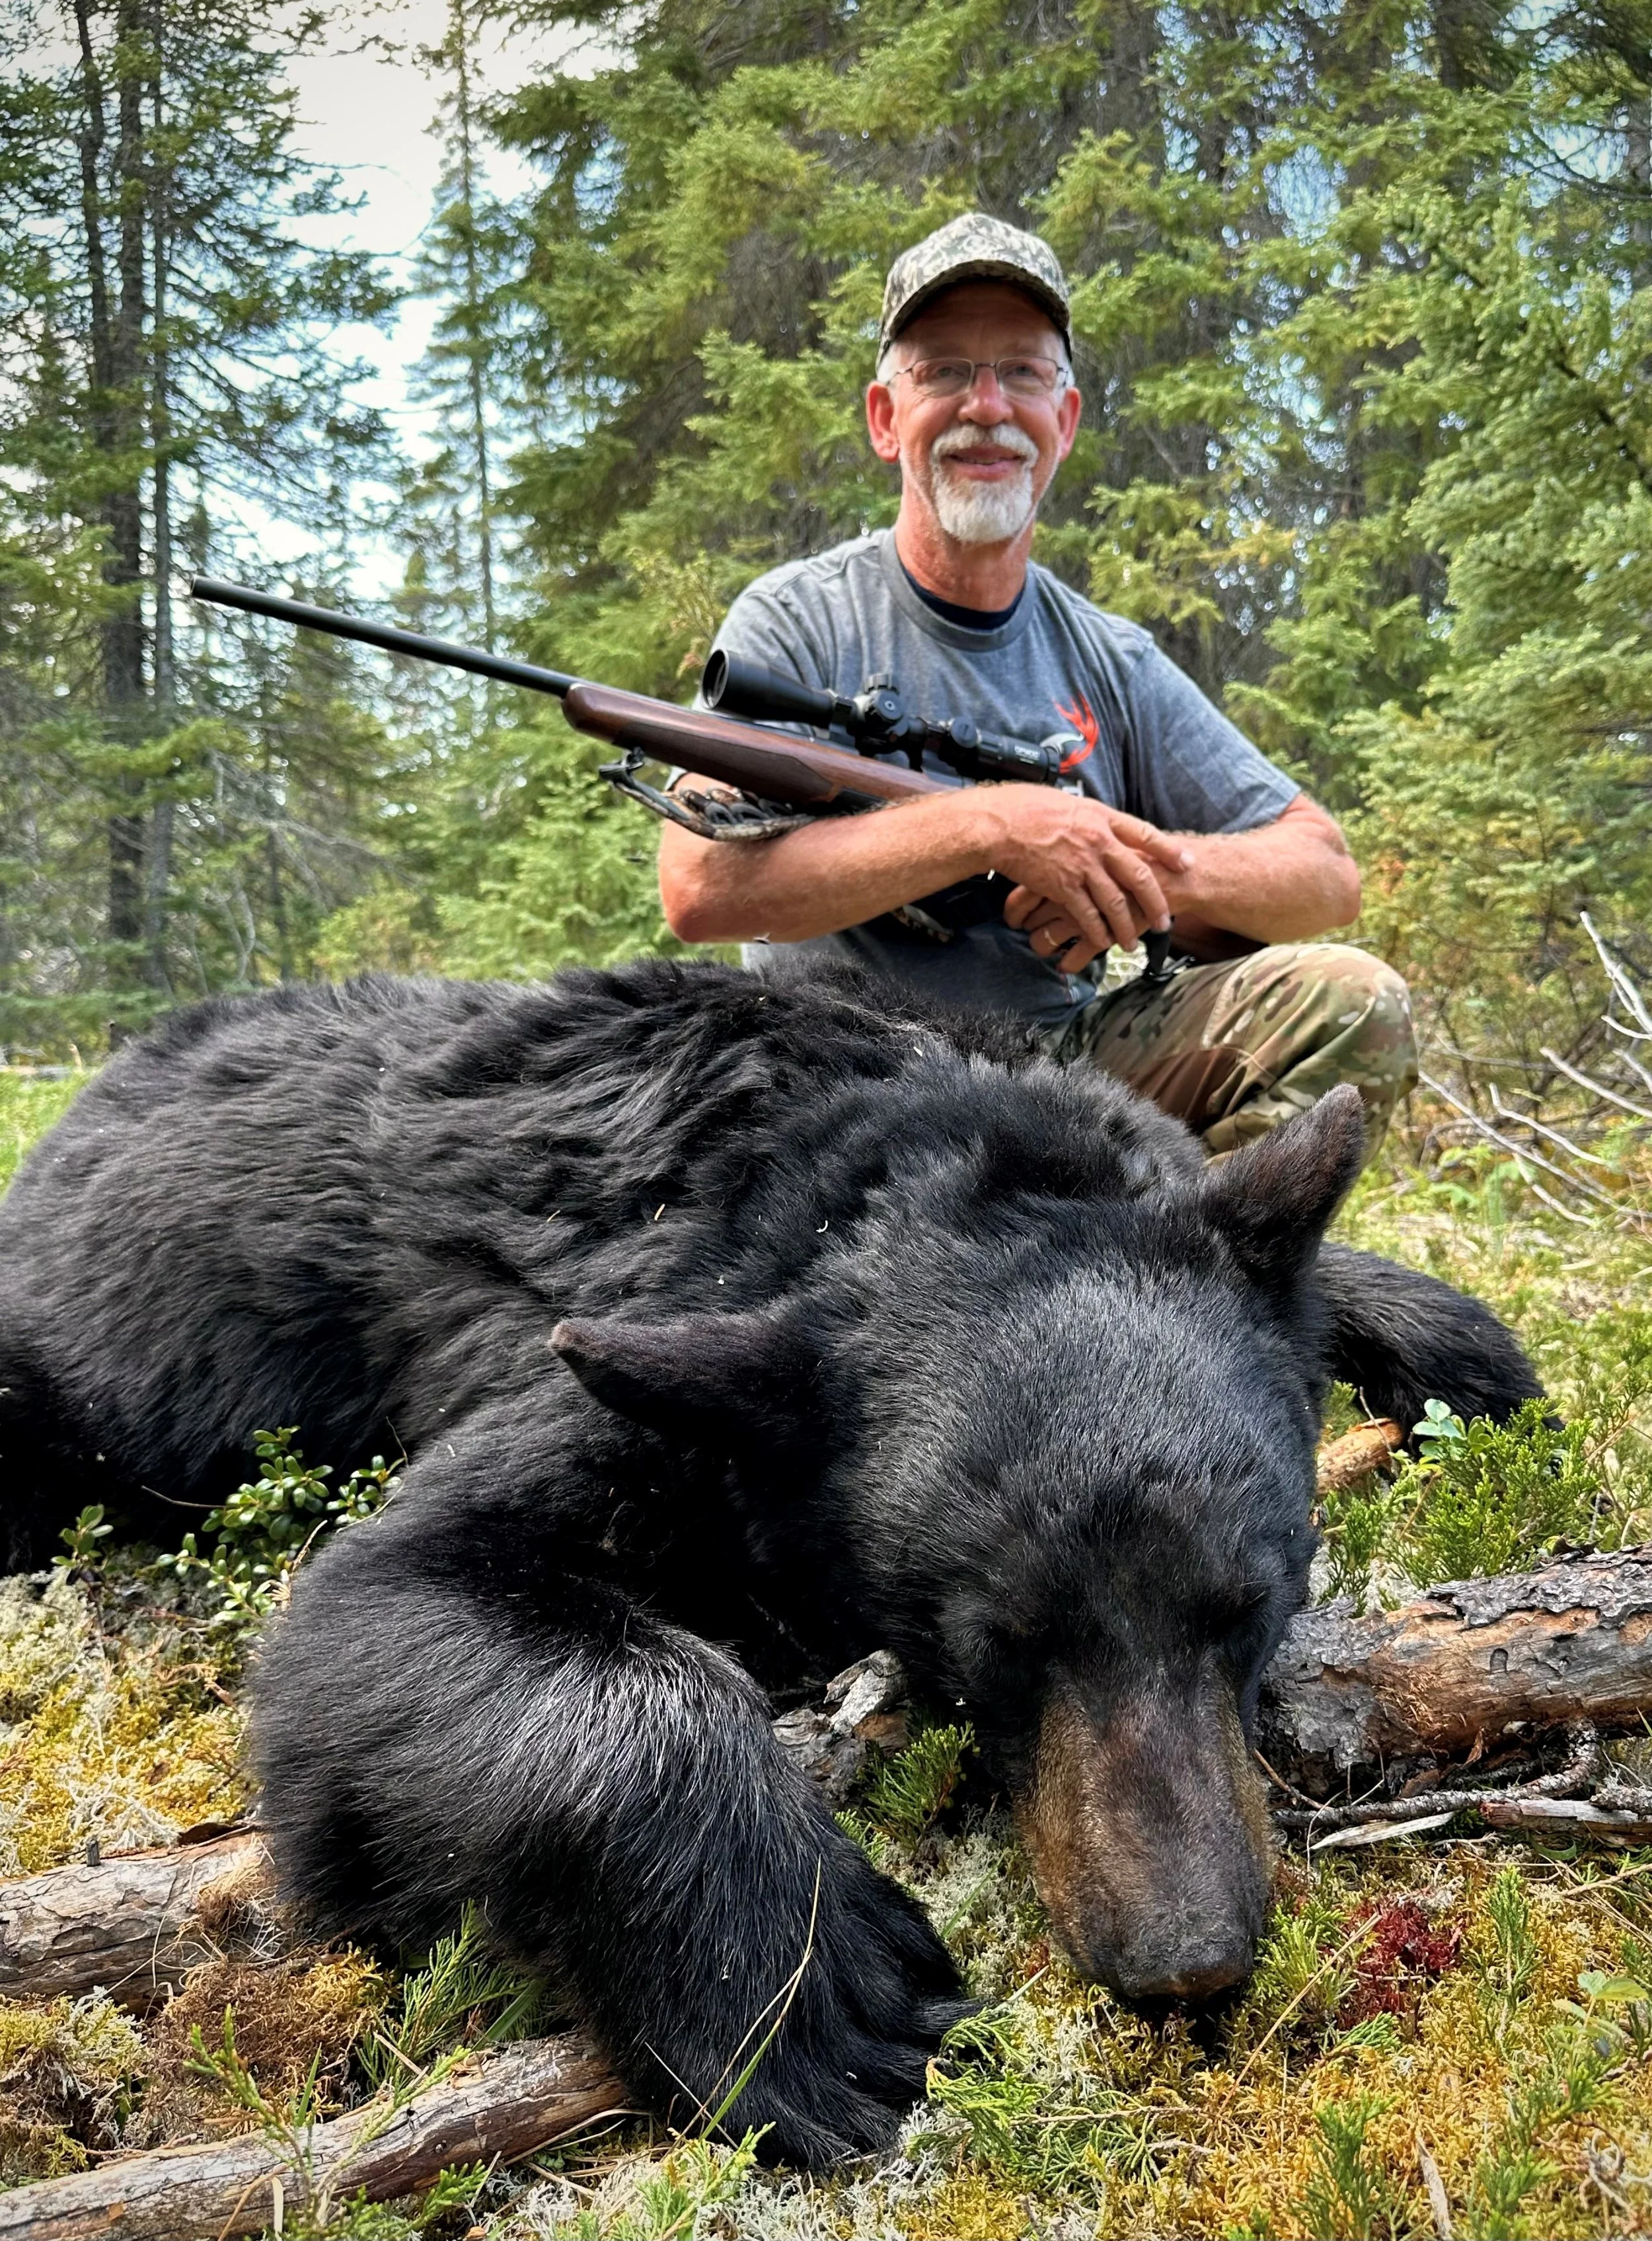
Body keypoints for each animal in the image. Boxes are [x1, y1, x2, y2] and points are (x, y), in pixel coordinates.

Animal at [0, 960, 1541, 2167]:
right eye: (991, 1649)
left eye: (1249, 1606)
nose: (1187, 1958)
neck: (888, 1144)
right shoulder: (656, 1361)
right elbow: (388, 1597)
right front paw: (817, 1999)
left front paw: (1466, 1357)